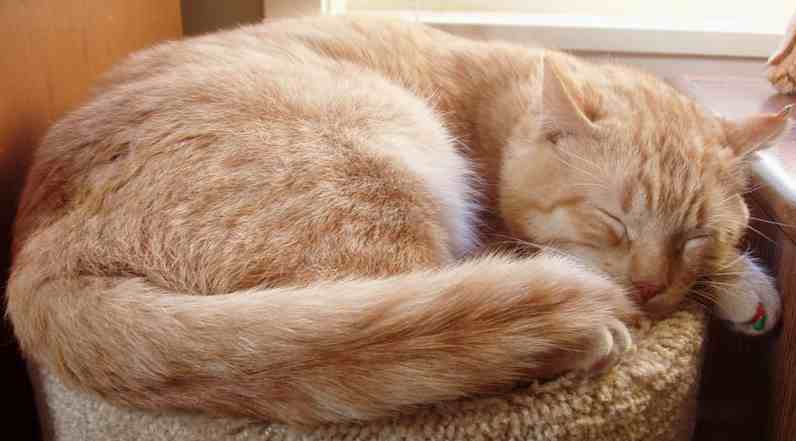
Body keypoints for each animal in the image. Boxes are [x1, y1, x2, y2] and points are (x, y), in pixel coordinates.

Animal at [4, 16, 788, 422]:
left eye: (694, 235)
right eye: (612, 223)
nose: (654, 290)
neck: (499, 110)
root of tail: (40, 252)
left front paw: (739, 282)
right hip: (382, 168)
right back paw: (576, 338)